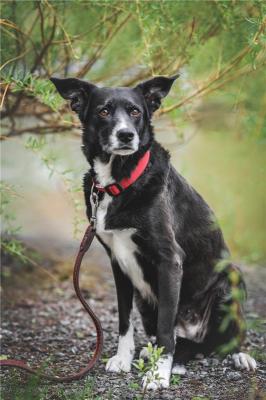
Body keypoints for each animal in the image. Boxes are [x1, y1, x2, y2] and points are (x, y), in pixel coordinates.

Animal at [51, 76, 256, 390]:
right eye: (103, 111)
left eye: (135, 112)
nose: (126, 135)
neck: (120, 181)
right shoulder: (117, 262)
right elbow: (124, 321)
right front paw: (123, 358)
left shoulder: (169, 260)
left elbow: (165, 330)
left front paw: (159, 374)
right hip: (145, 301)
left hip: (229, 281)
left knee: (220, 339)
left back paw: (240, 355)